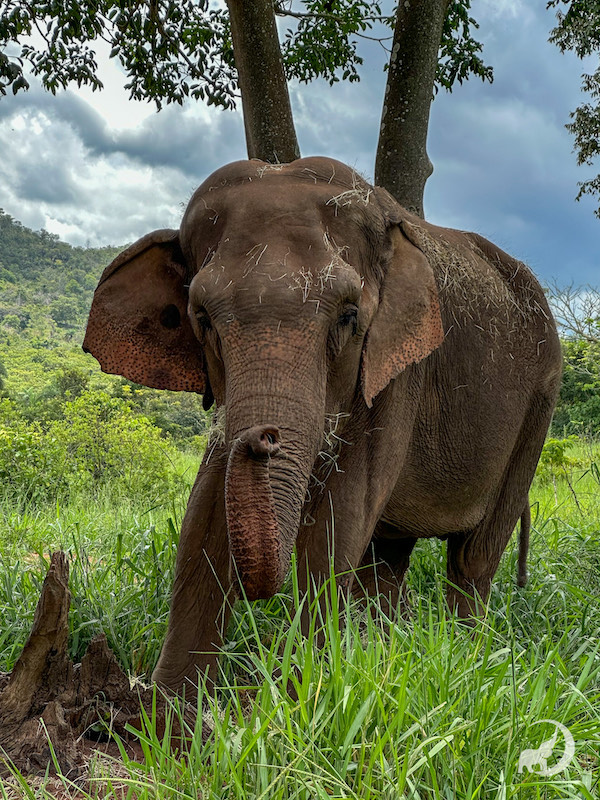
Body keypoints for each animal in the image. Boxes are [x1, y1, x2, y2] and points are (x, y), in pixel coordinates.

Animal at [83, 157, 562, 693]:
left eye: (348, 316)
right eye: (201, 318)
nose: (265, 436)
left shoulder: (399, 370)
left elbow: (338, 520)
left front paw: (297, 695)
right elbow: (203, 515)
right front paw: (166, 711)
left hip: (539, 408)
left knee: (471, 559)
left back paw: (467, 658)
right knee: (388, 559)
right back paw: (388, 651)